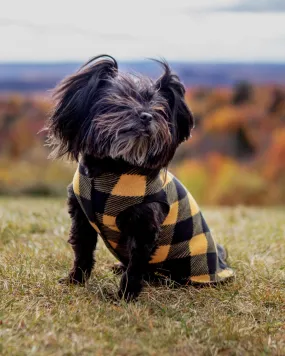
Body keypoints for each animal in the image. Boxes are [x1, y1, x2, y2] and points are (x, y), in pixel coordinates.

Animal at [46, 55, 233, 300]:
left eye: (159, 108)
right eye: (123, 99)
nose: (146, 115)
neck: (112, 168)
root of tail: (220, 265)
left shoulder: (144, 225)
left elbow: (136, 266)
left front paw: (125, 296)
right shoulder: (81, 216)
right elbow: (82, 251)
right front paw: (75, 281)